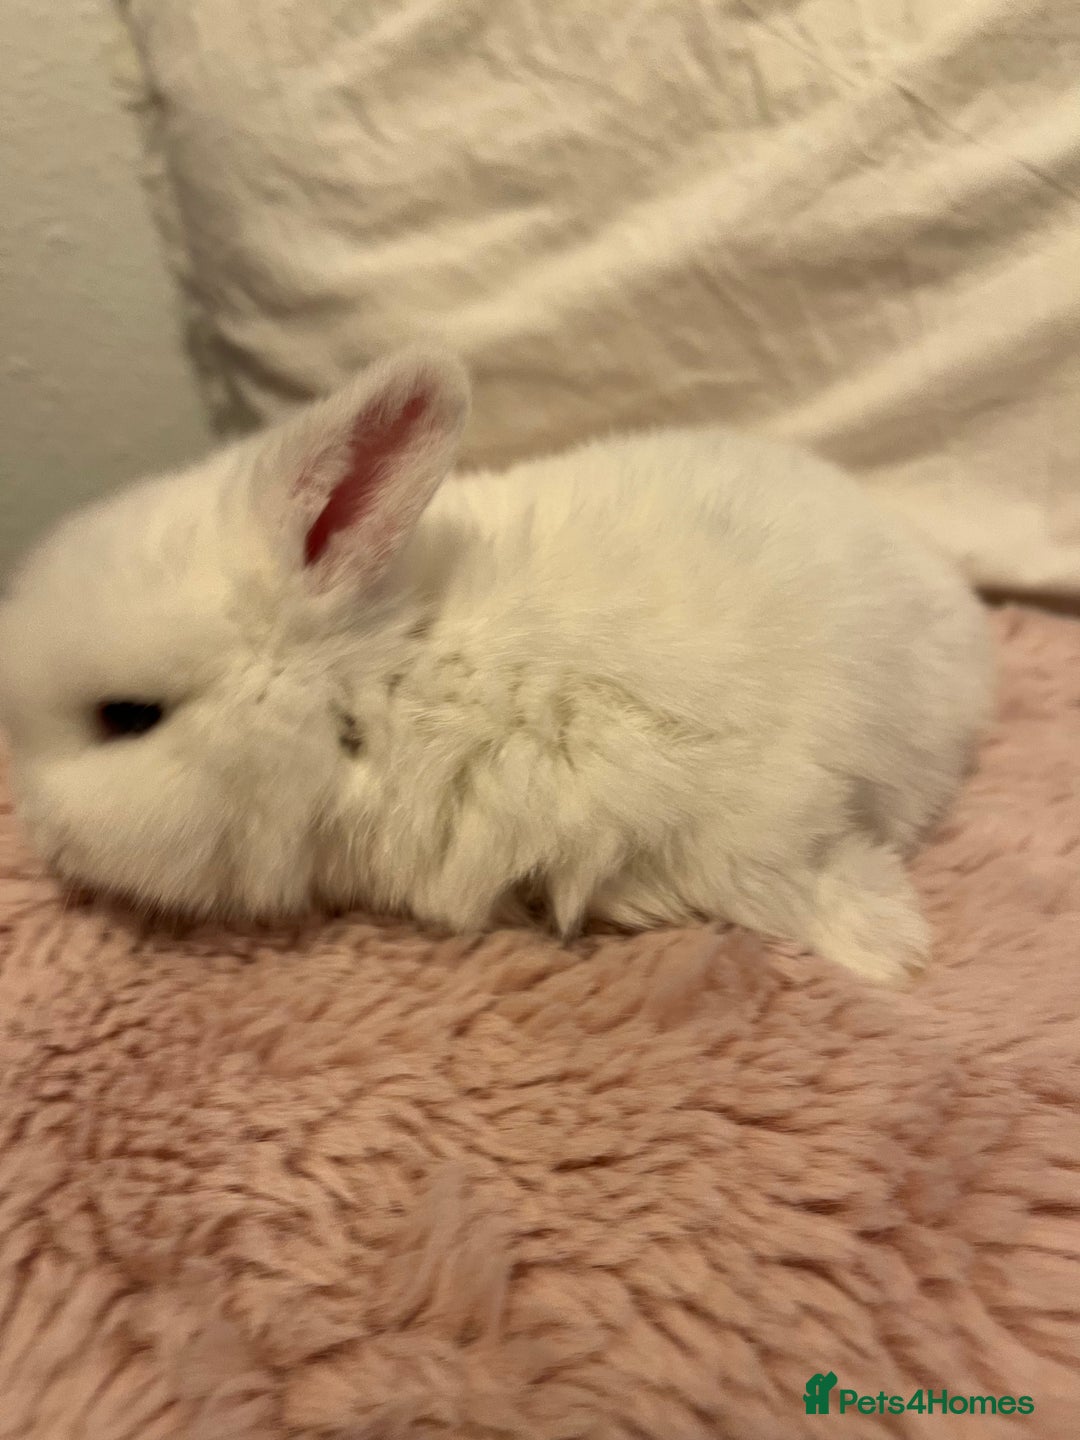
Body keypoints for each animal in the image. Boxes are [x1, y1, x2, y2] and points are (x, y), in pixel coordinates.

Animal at [0, 347, 992, 983]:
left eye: (127, 717)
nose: (39, 837)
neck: (388, 687)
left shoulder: (744, 801)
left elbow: (786, 869)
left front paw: (888, 945)